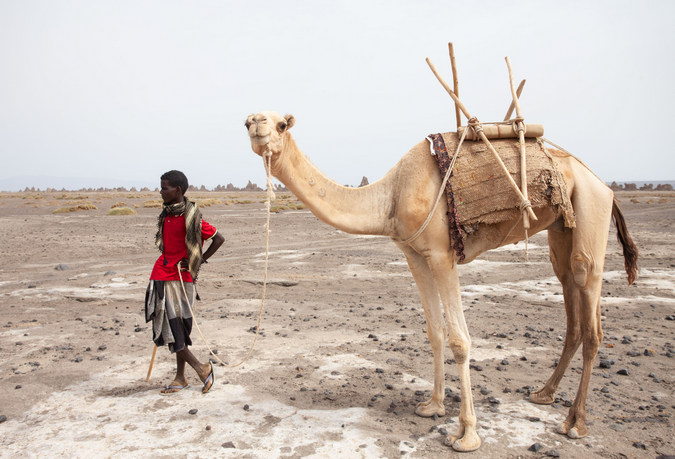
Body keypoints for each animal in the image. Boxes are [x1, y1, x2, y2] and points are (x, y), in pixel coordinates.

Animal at [244, 111, 640, 452]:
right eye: (249, 121)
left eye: (281, 124)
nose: (255, 122)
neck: (392, 195)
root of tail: (605, 184)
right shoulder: (414, 255)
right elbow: (434, 332)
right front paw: (432, 405)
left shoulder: (442, 255)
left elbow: (460, 341)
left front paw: (467, 434)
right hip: (562, 226)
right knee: (569, 294)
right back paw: (544, 393)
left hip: (590, 209)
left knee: (589, 303)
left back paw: (576, 422)